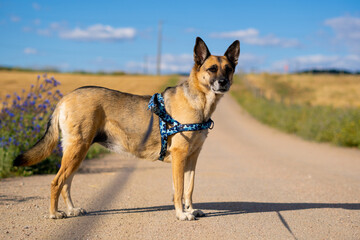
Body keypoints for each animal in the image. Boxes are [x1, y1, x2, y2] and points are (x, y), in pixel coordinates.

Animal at [13, 37, 239, 221]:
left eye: (228, 69)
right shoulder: (180, 156)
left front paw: (190, 209)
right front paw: (182, 214)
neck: (200, 102)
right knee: (56, 182)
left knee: (66, 183)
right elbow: (179, 189)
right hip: (76, 150)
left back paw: (71, 210)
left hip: (77, 153)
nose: (223, 83)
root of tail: (65, 97)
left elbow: (189, 189)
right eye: (211, 69)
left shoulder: (192, 157)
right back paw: (54, 213)